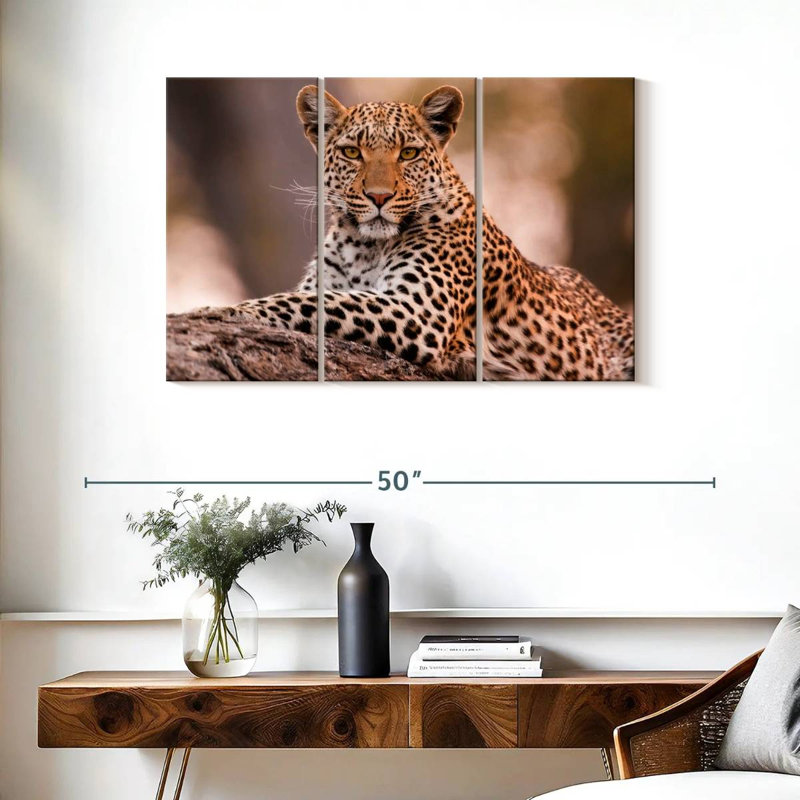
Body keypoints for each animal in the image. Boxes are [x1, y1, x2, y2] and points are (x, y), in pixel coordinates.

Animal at [229, 84, 634, 380]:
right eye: (352, 152)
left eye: (408, 153)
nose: (379, 196)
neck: (364, 246)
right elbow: (311, 296)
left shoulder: (421, 311)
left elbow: (310, 302)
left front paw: (226, 310)